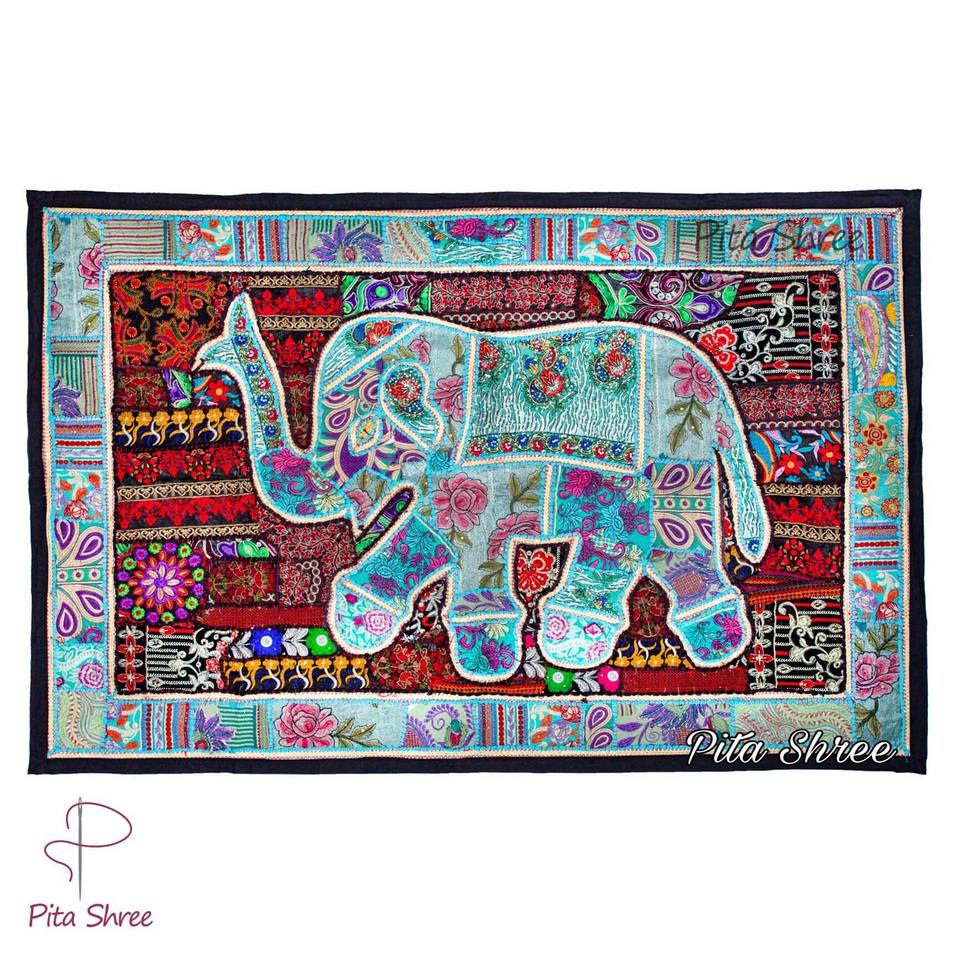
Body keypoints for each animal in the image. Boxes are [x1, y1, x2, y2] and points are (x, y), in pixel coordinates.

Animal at [193, 292, 770, 681]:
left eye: (360, 433)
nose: (205, 359)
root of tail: (713, 381)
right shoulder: (442, 480)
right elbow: (426, 538)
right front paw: (362, 623)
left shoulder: (475, 477)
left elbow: (468, 548)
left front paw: (483, 658)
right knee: (656, 552)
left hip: (665, 463)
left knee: (649, 544)